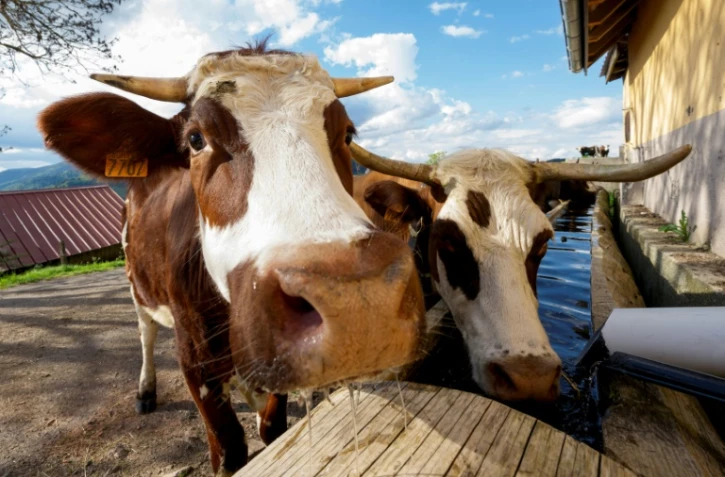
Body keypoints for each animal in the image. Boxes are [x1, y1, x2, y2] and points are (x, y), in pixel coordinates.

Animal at [37, 41, 427, 475]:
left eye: (347, 132)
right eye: (195, 139)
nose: (359, 302)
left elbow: (273, 429)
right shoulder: (195, 359)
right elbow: (227, 450)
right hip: (135, 281)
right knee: (145, 331)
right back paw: (146, 390)